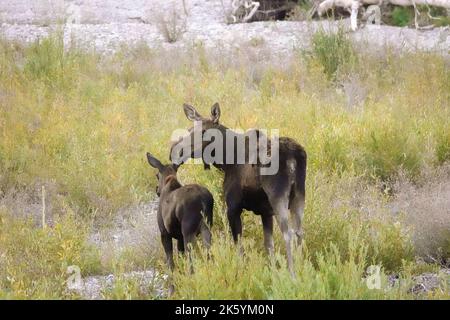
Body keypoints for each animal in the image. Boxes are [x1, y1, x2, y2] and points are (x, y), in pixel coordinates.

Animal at [171, 102, 308, 276]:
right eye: (190, 129)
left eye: (203, 131)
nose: (176, 151)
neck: (226, 161)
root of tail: (293, 158)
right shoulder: (265, 212)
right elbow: (268, 245)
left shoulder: (233, 207)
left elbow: (239, 246)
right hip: (299, 195)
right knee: (299, 232)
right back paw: (302, 268)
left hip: (278, 196)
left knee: (287, 233)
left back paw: (292, 273)